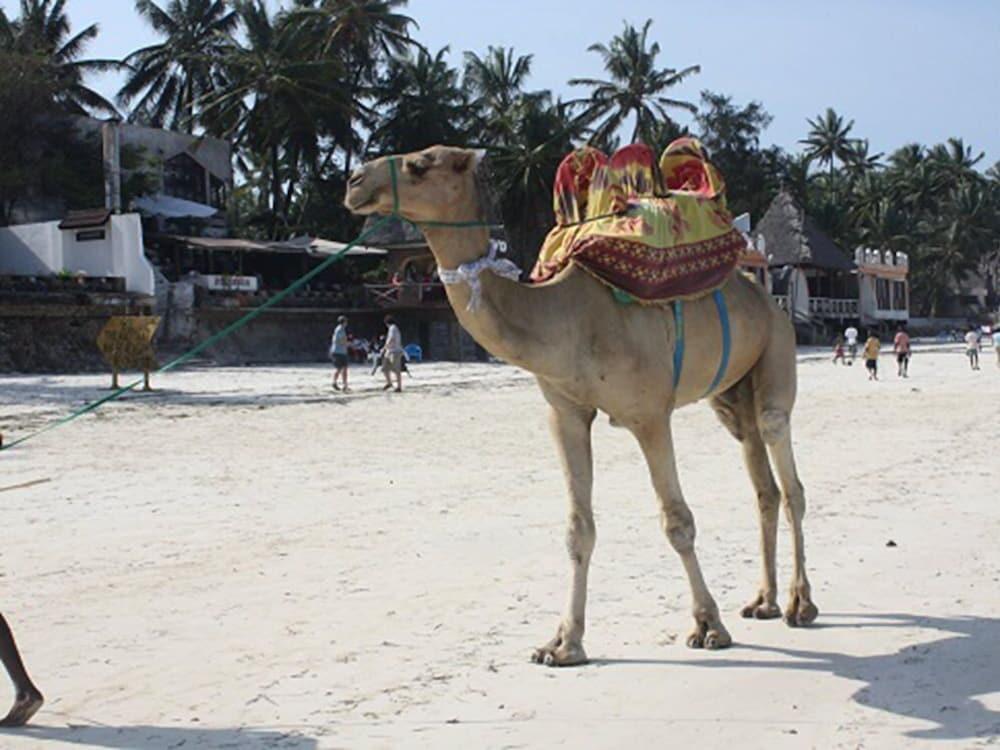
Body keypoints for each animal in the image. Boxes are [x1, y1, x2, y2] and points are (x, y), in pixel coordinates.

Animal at [348, 144, 816, 668]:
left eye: (421, 163)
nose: (355, 181)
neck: (567, 317)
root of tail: (768, 297)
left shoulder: (649, 414)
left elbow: (677, 521)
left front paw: (708, 626)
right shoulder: (566, 412)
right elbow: (578, 528)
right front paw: (563, 643)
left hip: (777, 347)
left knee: (786, 467)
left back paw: (800, 603)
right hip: (731, 393)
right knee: (762, 481)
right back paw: (764, 601)